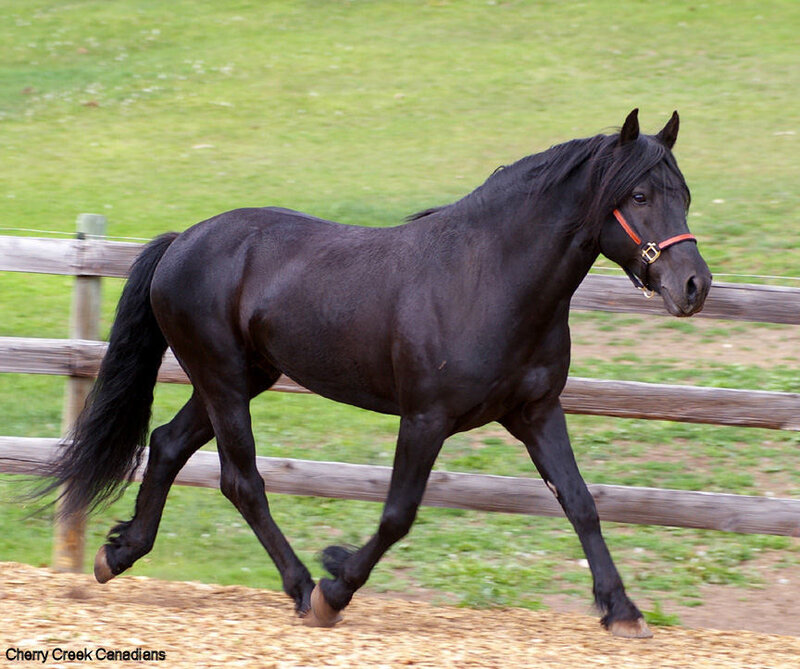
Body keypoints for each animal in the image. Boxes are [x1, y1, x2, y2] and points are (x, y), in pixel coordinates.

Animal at [39, 109, 711, 637]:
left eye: (684, 195)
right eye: (640, 196)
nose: (694, 286)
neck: (488, 277)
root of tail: (182, 242)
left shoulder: (535, 412)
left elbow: (580, 502)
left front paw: (622, 610)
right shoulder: (426, 418)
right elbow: (398, 514)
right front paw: (334, 588)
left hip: (239, 377)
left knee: (168, 445)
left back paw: (119, 553)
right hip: (224, 379)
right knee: (241, 480)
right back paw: (299, 586)